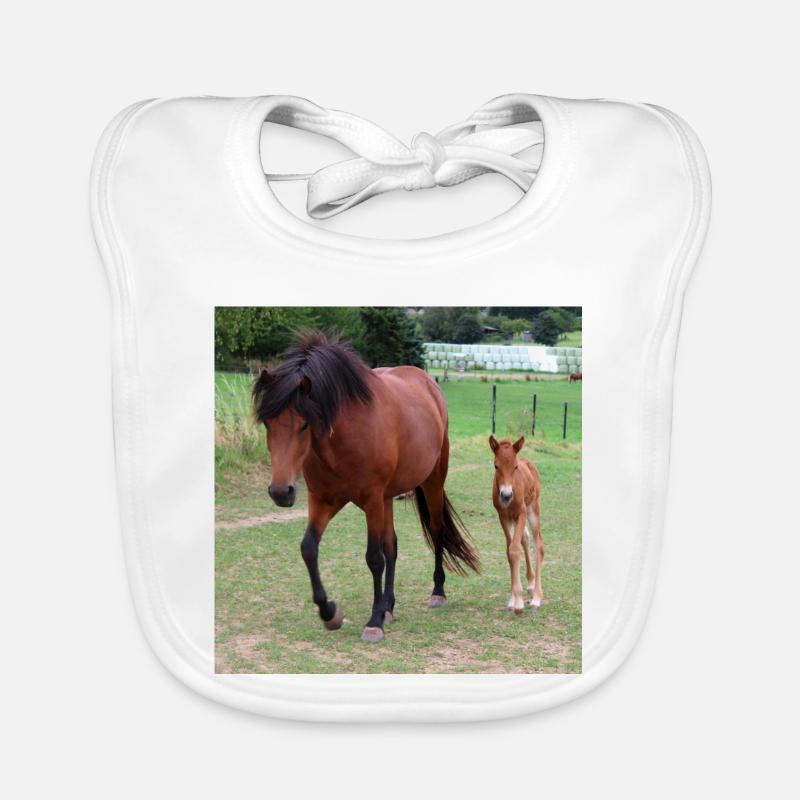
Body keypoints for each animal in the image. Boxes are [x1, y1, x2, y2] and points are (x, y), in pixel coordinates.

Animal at [252, 331, 480, 642]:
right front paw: (330, 613)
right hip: (387, 498)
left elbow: (373, 558)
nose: (280, 491)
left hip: (431, 482)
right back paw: (388, 607)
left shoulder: (371, 499)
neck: (343, 439)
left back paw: (437, 592)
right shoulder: (323, 499)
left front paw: (373, 621)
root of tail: (429, 383)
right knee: (392, 545)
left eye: (304, 425)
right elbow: (309, 548)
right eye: (267, 424)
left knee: (436, 532)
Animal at [489, 435, 544, 613]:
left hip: (533, 508)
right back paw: (531, 584)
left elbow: (514, 549)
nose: (506, 495)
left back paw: (536, 598)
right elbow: (509, 550)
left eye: (515, 467)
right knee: (525, 539)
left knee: (538, 544)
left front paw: (519, 602)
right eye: (496, 465)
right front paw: (513, 599)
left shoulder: (522, 513)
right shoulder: (503, 517)